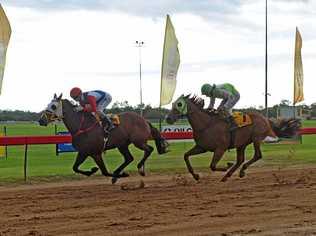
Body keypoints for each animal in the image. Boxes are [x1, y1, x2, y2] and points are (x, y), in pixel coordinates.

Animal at [39, 94, 168, 184]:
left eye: (53, 106)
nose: (41, 120)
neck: (82, 126)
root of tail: (144, 120)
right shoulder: (83, 152)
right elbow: (75, 167)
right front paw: (92, 171)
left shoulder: (96, 153)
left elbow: (104, 172)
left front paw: (122, 175)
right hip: (122, 145)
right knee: (129, 158)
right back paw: (118, 173)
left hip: (138, 141)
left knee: (149, 149)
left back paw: (140, 169)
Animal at [164, 95, 300, 182]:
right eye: (173, 103)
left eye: (179, 104)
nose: (168, 118)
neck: (206, 124)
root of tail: (265, 119)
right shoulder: (202, 147)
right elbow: (186, 156)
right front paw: (196, 176)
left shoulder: (221, 148)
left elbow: (212, 166)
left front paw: (227, 165)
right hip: (242, 144)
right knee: (240, 160)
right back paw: (228, 175)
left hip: (256, 138)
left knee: (257, 155)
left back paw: (239, 171)